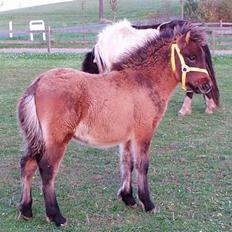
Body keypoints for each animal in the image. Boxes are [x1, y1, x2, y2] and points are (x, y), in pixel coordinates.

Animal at [17, 24, 211, 227]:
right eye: (191, 57)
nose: (207, 86)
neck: (143, 80)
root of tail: (37, 84)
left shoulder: (127, 137)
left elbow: (127, 163)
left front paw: (128, 198)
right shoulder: (143, 133)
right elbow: (142, 165)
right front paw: (147, 203)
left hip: (37, 139)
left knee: (27, 164)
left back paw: (26, 210)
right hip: (57, 140)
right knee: (47, 170)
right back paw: (56, 216)